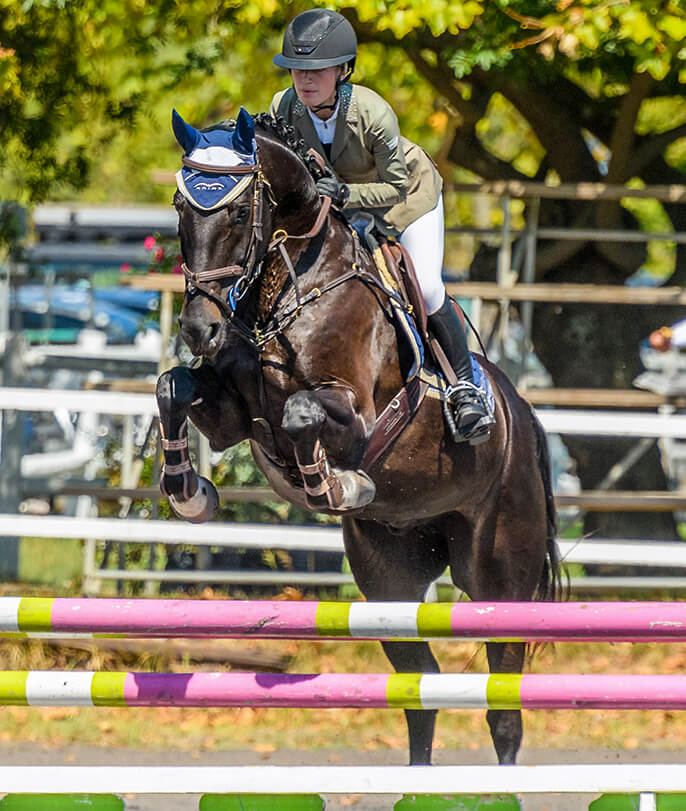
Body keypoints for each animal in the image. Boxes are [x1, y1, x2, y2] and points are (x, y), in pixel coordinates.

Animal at [156, 106, 561, 766]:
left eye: (240, 214)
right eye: (179, 206)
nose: (199, 328)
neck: (288, 280)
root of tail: (522, 414)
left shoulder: (357, 417)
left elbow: (301, 414)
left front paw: (333, 484)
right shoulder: (231, 416)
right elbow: (172, 387)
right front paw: (189, 493)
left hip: (500, 581)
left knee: (504, 710)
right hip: (390, 582)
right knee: (422, 692)